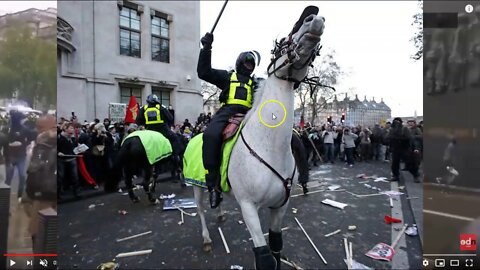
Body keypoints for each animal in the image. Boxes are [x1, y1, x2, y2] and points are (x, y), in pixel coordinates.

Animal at [193, 7, 324, 268]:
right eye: (282, 41)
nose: (313, 18)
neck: (269, 147)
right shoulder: (248, 207)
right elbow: (264, 257)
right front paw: (207, 41)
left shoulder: (280, 206)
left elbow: (276, 246)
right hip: (195, 185)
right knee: (200, 210)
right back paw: (206, 238)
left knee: (216, 200)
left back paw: (219, 211)